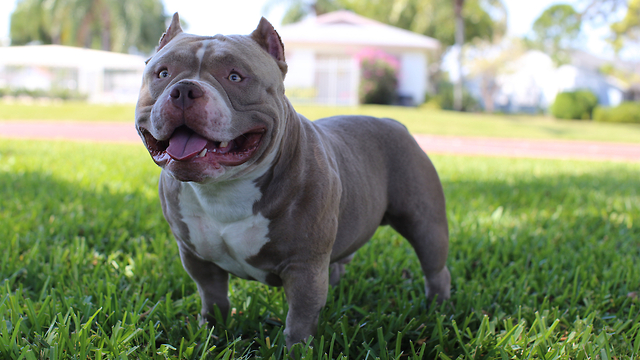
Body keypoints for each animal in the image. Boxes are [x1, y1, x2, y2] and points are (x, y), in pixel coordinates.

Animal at [135, 12, 450, 348]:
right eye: (163, 73)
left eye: (235, 77)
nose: (184, 90)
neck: (224, 189)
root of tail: (394, 122)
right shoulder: (197, 258)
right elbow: (213, 298)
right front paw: (211, 334)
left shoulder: (304, 267)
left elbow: (299, 319)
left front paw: (296, 349)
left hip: (425, 223)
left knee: (435, 268)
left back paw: (438, 309)